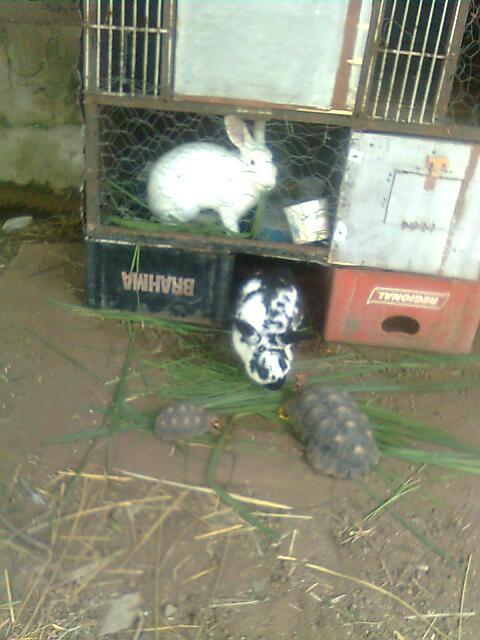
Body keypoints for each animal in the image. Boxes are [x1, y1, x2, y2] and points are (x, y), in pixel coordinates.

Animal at [147, 115, 277, 233]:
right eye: (252, 162)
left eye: (271, 158)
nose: (270, 183)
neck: (245, 175)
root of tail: (151, 202)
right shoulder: (228, 210)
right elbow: (231, 227)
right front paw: (235, 235)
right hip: (185, 209)